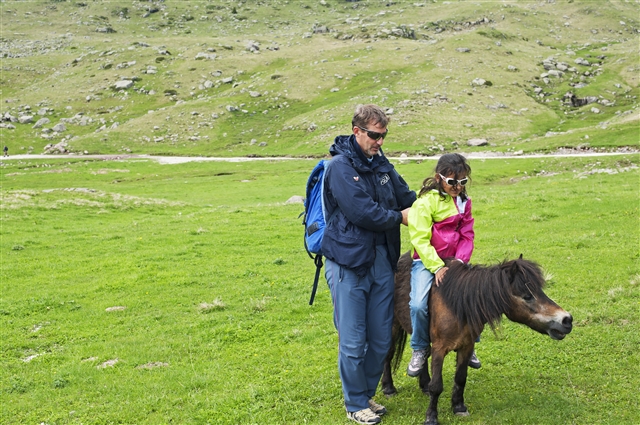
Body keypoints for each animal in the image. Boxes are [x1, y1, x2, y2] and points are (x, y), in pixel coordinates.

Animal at [382, 252, 572, 424]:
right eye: (527, 296)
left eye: (540, 291)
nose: (567, 320)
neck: (458, 304)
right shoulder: (440, 348)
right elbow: (437, 385)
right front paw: (431, 417)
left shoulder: (466, 346)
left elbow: (460, 378)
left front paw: (459, 407)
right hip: (392, 327)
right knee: (389, 356)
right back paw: (388, 388)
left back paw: (424, 386)